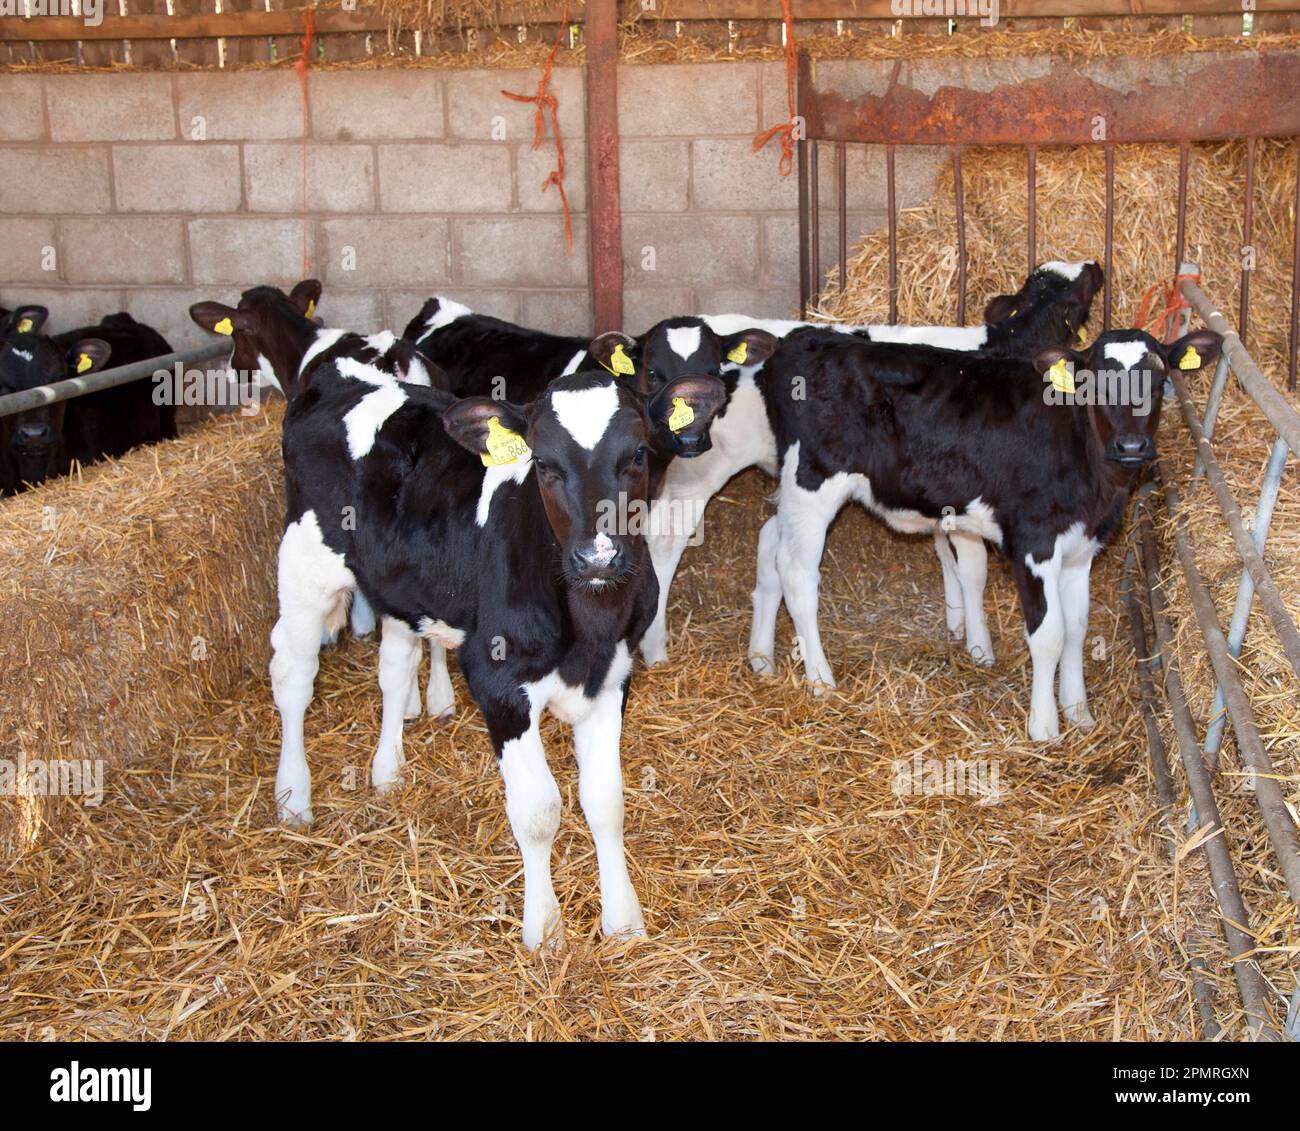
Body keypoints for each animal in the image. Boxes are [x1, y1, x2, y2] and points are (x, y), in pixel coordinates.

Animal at [271, 344, 727, 948]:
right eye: (544, 464)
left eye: (636, 455)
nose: (598, 557)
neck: (587, 624)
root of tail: (341, 371)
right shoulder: (499, 684)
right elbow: (538, 811)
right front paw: (545, 931)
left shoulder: (612, 676)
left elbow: (605, 801)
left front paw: (623, 922)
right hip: (304, 564)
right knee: (293, 676)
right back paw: (293, 797)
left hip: (400, 582)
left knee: (395, 666)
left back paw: (387, 771)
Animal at [639, 260, 1104, 668]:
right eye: (1080, 291)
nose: (1095, 265)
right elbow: (974, 567)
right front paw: (980, 647)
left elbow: (951, 558)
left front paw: (957, 625)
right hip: (702, 470)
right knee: (666, 541)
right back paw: (656, 648)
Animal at [751, 324, 1221, 741]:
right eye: (1093, 385)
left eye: (1159, 382)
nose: (1131, 447)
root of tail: (802, 338)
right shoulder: (1034, 541)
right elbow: (1049, 634)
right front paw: (1045, 727)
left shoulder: (1081, 547)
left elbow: (1077, 628)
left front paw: (1079, 713)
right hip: (813, 481)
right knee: (796, 573)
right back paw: (821, 680)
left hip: (796, 490)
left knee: (771, 540)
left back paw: (761, 659)